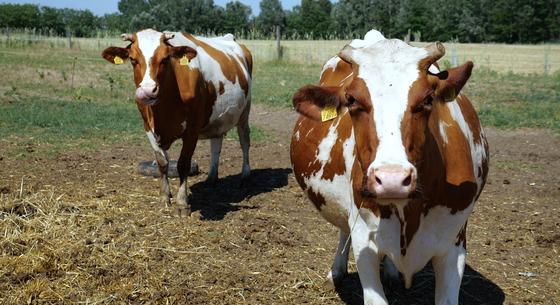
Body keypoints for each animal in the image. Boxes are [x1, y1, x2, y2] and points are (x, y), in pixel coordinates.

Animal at [101, 29, 253, 214]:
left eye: (165, 59)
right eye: (132, 59)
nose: (148, 91)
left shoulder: (192, 130)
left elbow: (183, 164)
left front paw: (182, 202)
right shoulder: (148, 127)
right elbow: (162, 163)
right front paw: (164, 197)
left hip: (245, 111)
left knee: (244, 141)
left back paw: (245, 176)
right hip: (218, 118)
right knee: (216, 143)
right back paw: (211, 178)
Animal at [290, 30, 488, 304]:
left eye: (428, 99)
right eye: (352, 100)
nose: (391, 179)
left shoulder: (454, 244)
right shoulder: (364, 240)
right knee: (343, 229)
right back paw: (336, 271)